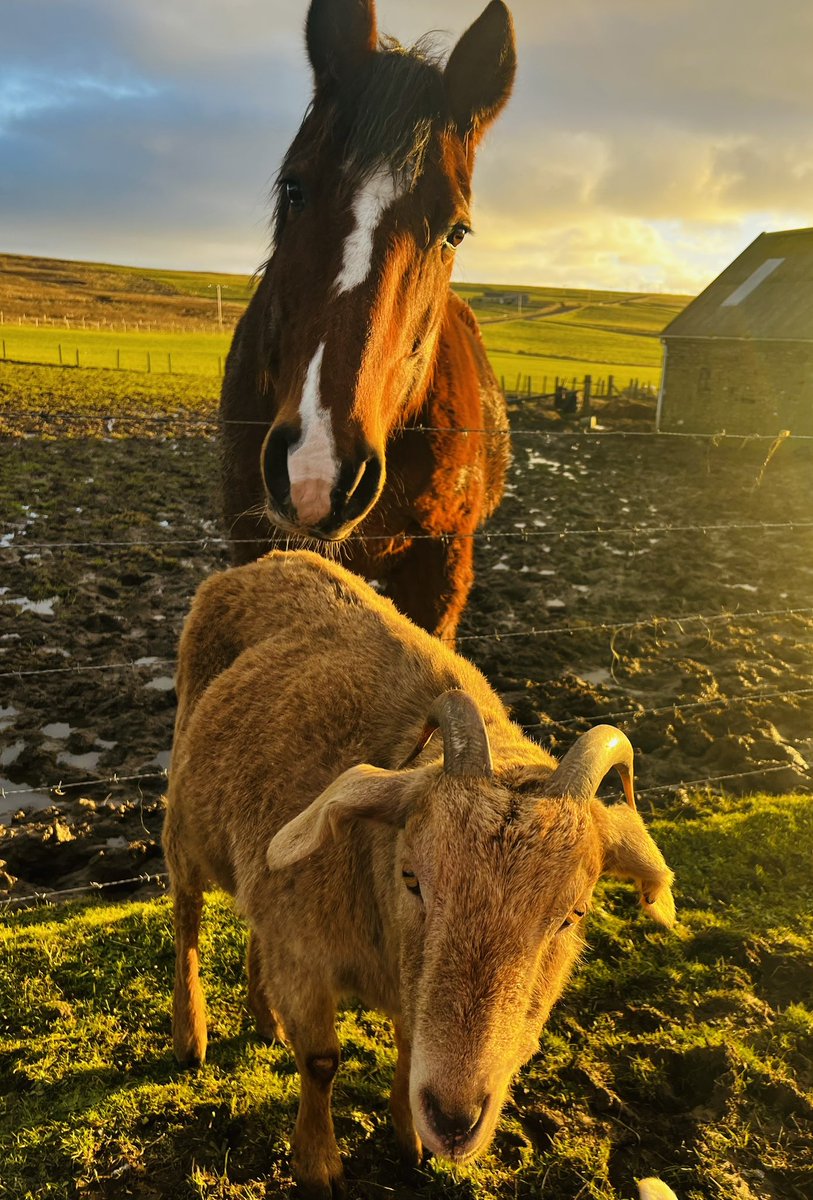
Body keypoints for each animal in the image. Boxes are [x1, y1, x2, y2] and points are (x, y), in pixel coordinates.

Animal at [164, 550, 675, 1198]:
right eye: (412, 878)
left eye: (574, 913)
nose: (455, 1120)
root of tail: (266, 559)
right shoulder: (305, 954)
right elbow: (321, 1061)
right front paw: (319, 1165)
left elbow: (408, 1044)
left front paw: (408, 1140)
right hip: (184, 820)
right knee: (187, 916)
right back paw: (190, 1036)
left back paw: (264, 1018)